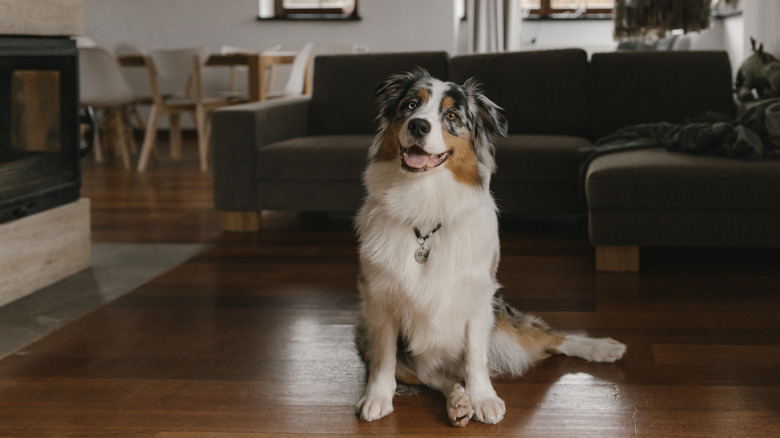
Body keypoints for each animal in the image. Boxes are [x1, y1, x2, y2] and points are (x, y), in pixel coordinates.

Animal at [354, 69, 628, 428]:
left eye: (451, 116)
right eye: (411, 105)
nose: (418, 126)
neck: (425, 208)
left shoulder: (477, 296)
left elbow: (475, 356)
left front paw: (484, 398)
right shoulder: (379, 300)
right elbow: (384, 358)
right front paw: (377, 397)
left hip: (505, 326)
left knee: (550, 338)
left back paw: (605, 348)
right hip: (366, 333)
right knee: (434, 375)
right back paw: (458, 401)